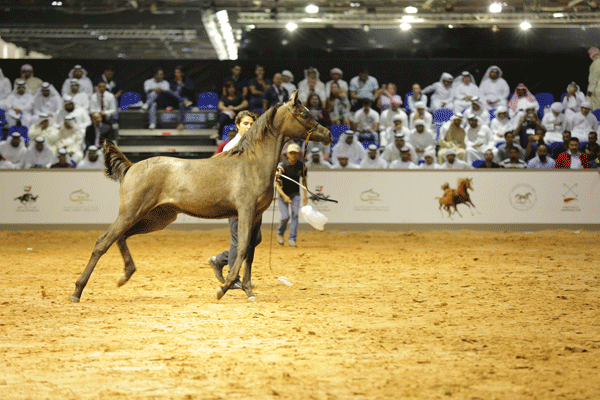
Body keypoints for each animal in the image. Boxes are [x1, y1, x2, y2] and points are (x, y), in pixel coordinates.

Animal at [71, 90, 336, 304]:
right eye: (303, 113)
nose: (328, 134)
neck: (251, 162)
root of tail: (131, 167)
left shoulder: (257, 215)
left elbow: (250, 251)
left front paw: (249, 291)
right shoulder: (246, 211)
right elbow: (241, 248)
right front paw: (224, 288)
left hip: (156, 218)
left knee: (121, 237)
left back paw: (124, 275)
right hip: (131, 212)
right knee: (103, 241)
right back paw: (77, 291)